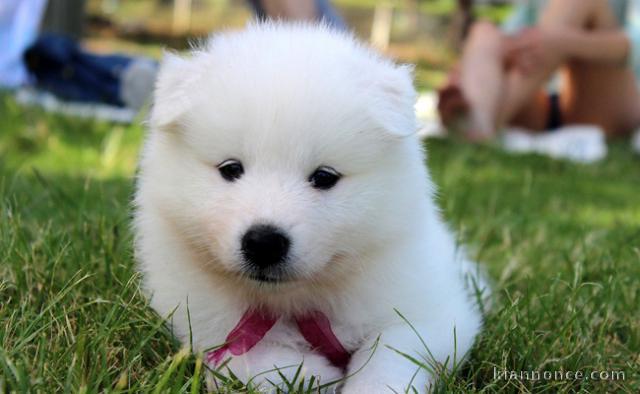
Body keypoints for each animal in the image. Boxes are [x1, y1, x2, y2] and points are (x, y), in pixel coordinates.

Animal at [134, 23, 484, 392]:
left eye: (324, 177)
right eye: (231, 169)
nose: (264, 243)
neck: (293, 301)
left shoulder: (434, 313)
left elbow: (391, 352)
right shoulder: (201, 322)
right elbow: (248, 359)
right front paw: (315, 375)